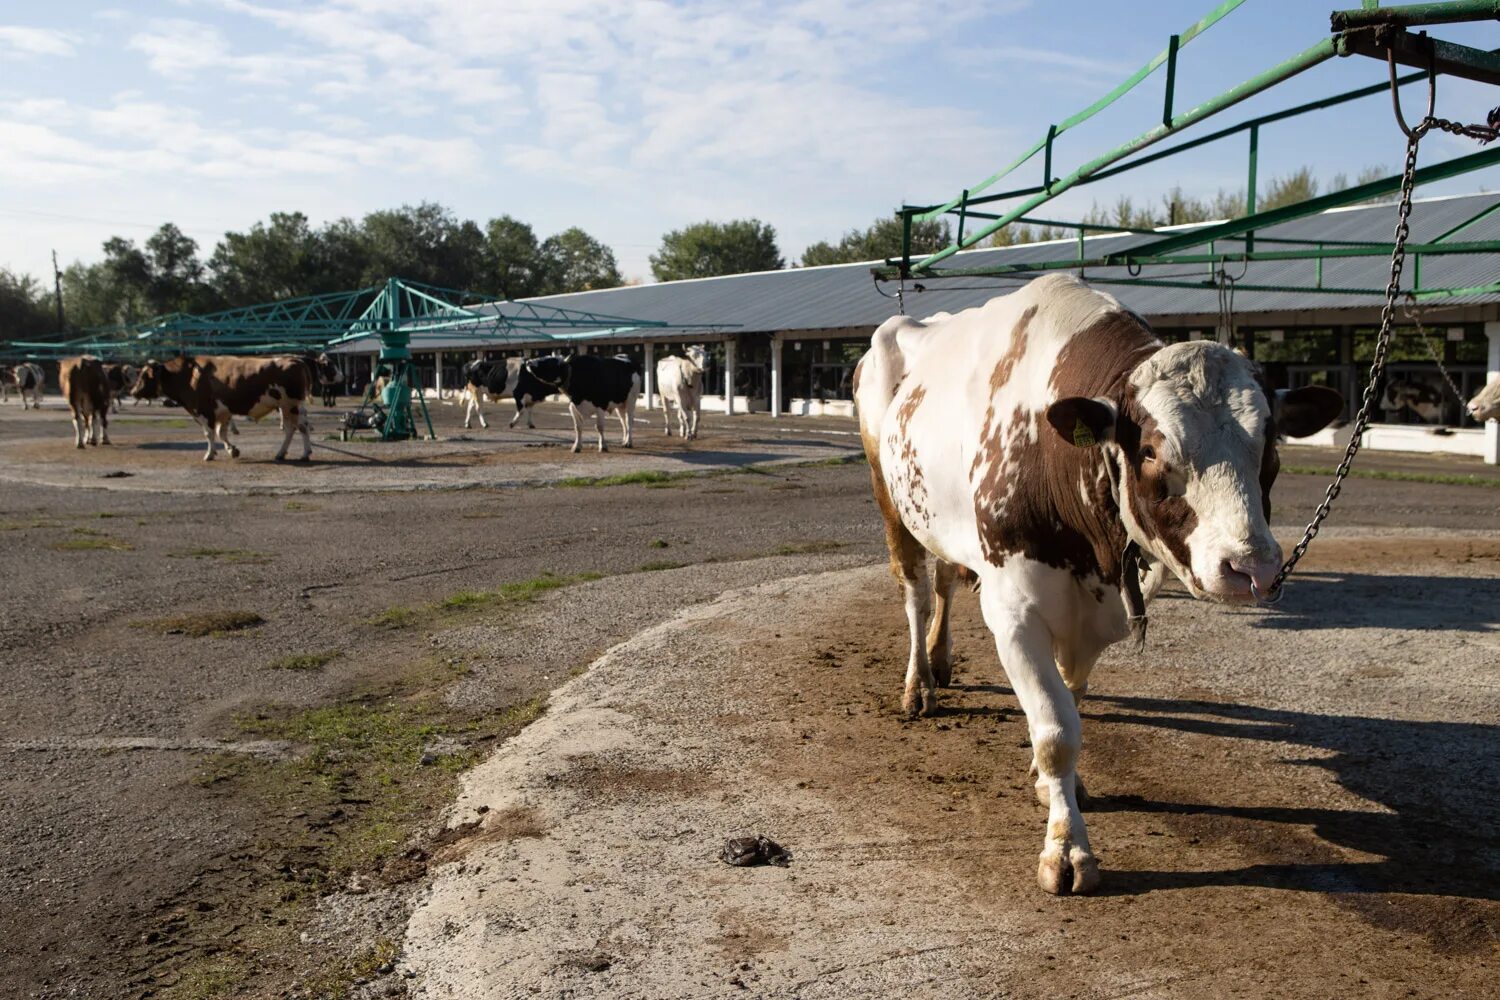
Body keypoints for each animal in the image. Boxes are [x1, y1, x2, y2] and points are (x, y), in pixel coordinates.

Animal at [128, 355, 313, 461]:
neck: (189, 376)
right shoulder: (223, 412)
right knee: (296, 428)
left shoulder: (204, 411)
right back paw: (289, 453)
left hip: (291, 406)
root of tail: (295, 360)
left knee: (297, 428)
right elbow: (221, 433)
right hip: (288, 407)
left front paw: (209, 454)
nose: (133, 391)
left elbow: (209, 434)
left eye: (144, 375)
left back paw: (299, 454)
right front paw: (232, 450)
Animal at [858, 275, 1350, 899]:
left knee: (945, 578)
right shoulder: (1013, 610)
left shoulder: (1100, 608)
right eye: (1151, 450)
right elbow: (1055, 730)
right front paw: (1067, 846)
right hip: (889, 502)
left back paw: (942, 661)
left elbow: (1072, 699)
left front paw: (1056, 786)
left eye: (1270, 447)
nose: (1252, 568)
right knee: (918, 593)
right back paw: (920, 682)